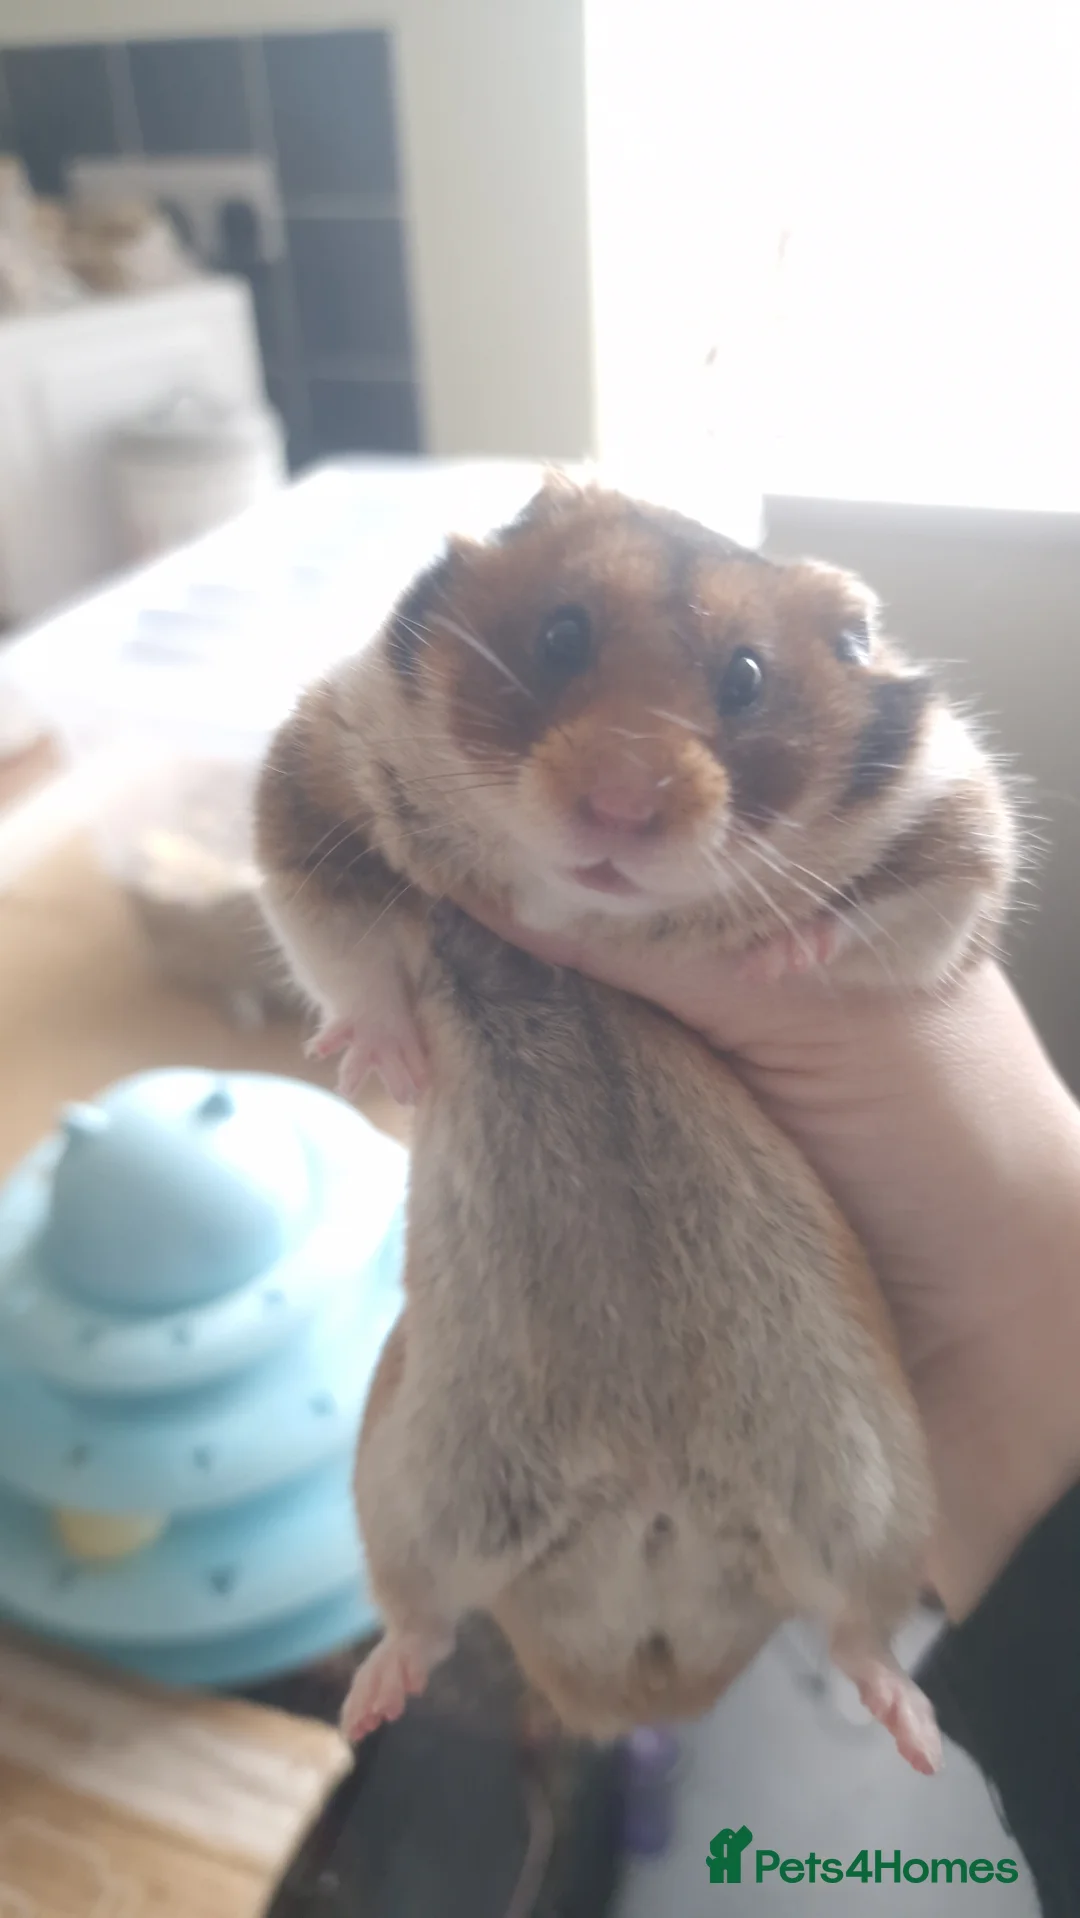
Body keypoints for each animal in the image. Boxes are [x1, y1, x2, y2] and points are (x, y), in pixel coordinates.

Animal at [256, 476, 1014, 1774]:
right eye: (561, 636)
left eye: (747, 677)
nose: (621, 800)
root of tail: (638, 1671)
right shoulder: (318, 771)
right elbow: (340, 939)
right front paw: (387, 1056)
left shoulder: (959, 829)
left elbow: (907, 911)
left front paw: (777, 954)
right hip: (401, 1481)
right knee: (421, 1614)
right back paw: (368, 1707)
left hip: (875, 1489)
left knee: (860, 1628)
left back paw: (911, 1734)